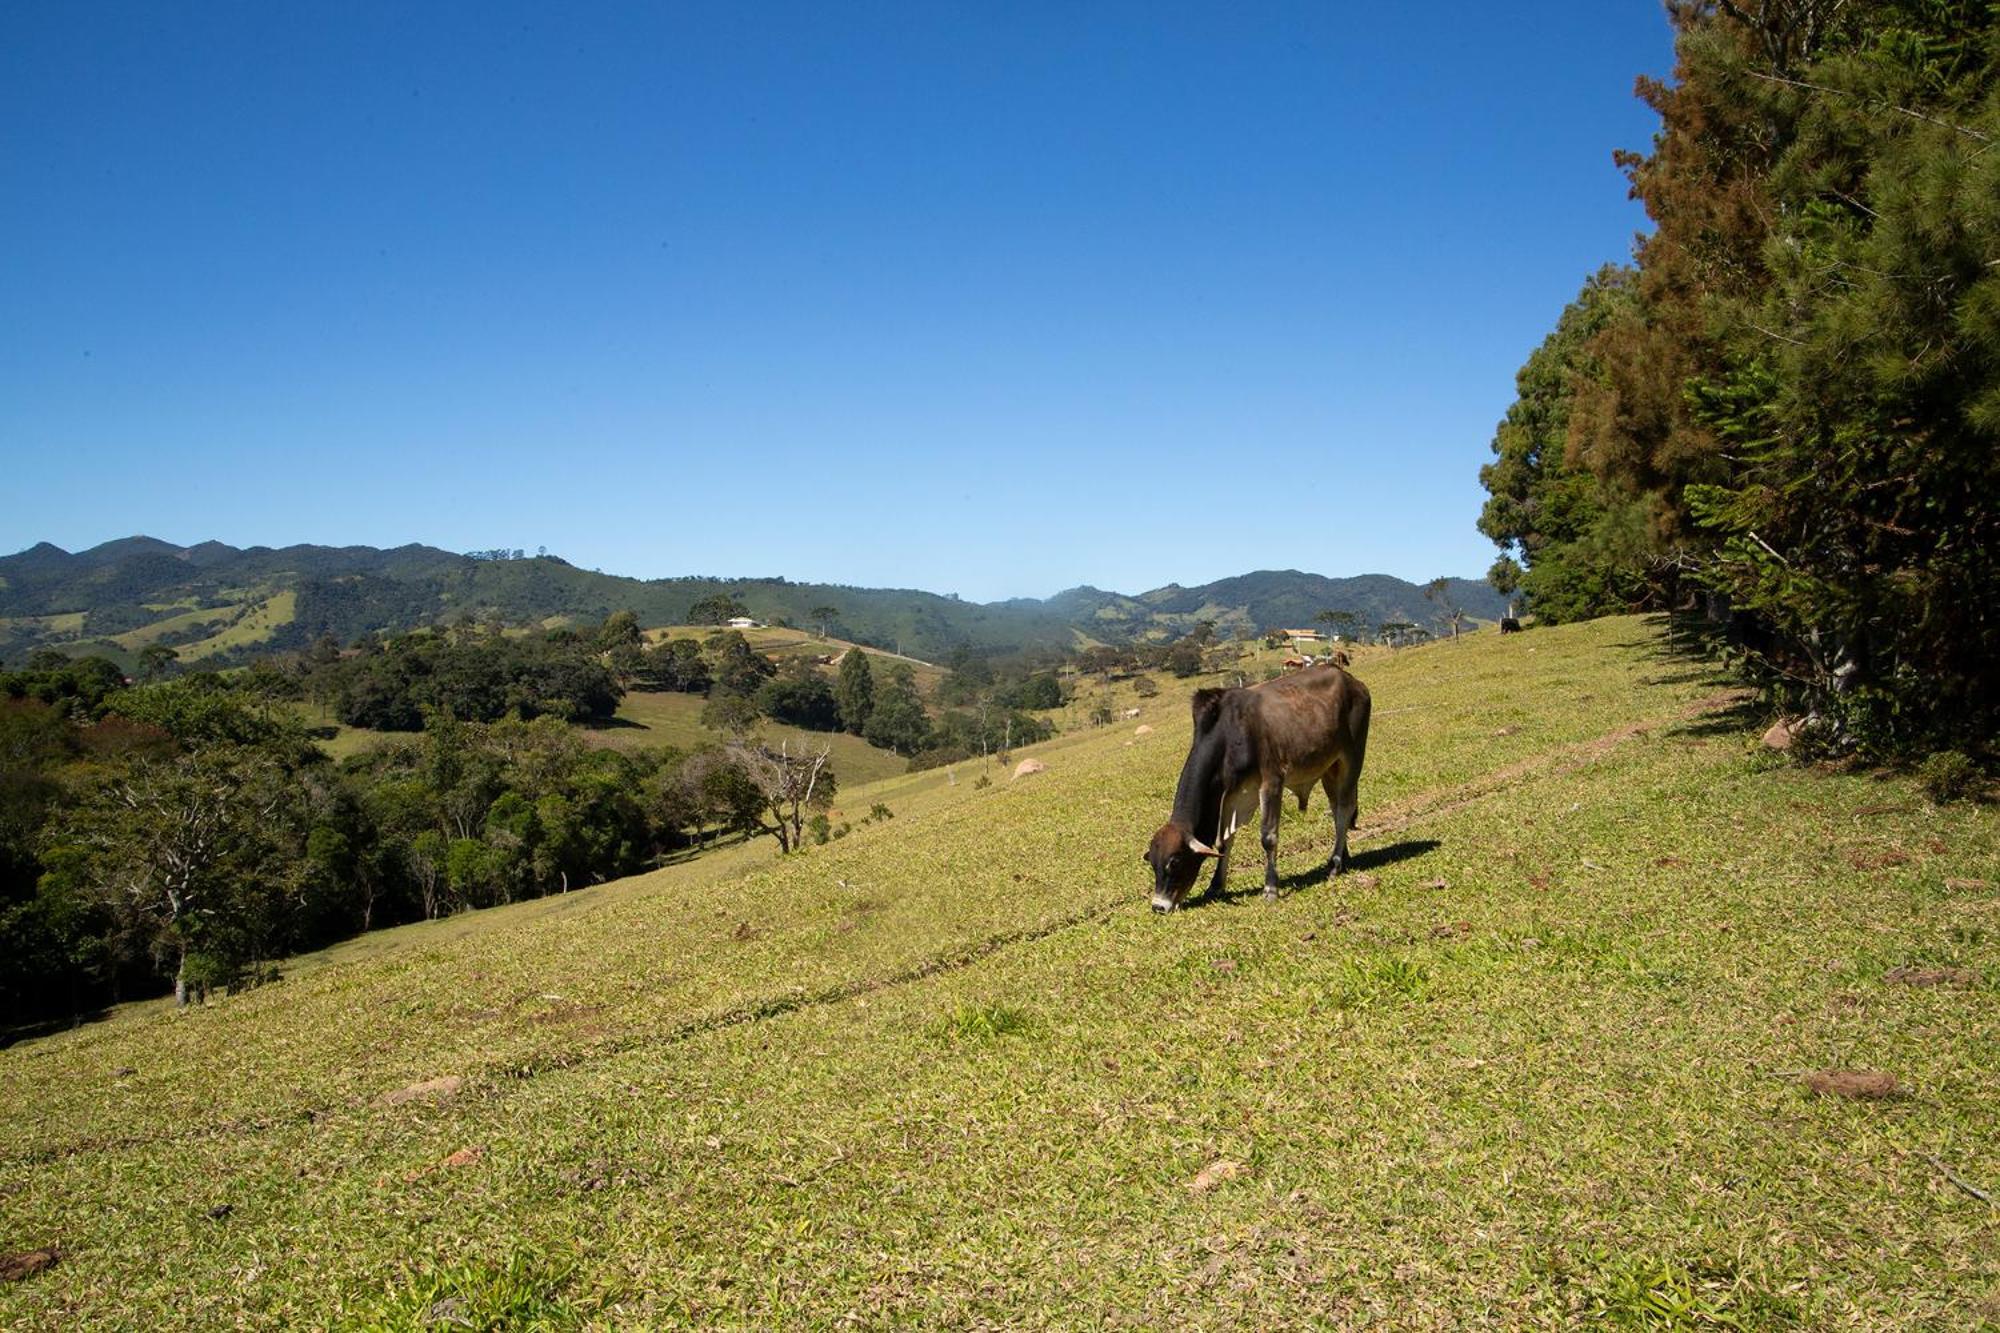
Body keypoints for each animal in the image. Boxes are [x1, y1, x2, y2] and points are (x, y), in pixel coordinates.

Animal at [1152, 660, 1368, 908]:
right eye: (1152, 863)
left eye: (1174, 862)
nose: (1158, 906)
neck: (1230, 734)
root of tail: (1352, 681)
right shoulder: (1231, 794)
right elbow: (1224, 842)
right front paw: (1215, 886)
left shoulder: (1271, 782)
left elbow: (1268, 837)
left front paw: (1271, 888)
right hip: (1330, 767)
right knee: (1336, 809)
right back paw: (1343, 856)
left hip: (1352, 757)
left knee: (1345, 809)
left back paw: (1335, 864)